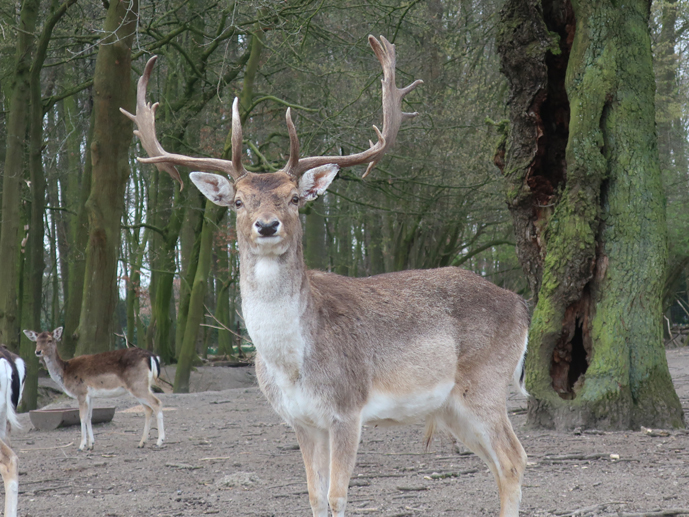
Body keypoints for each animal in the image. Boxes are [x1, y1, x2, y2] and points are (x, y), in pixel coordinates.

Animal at [23, 328, 165, 450]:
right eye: (36, 341)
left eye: (49, 340)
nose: (38, 352)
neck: (64, 372)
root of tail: (152, 356)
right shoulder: (90, 395)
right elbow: (89, 417)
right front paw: (91, 444)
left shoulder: (81, 392)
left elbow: (82, 417)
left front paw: (81, 446)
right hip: (141, 386)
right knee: (148, 409)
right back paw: (142, 443)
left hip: (137, 385)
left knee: (157, 403)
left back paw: (159, 441)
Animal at [121, 36, 528, 516]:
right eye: (238, 201)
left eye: (295, 197)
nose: (267, 225)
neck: (293, 365)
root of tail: (521, 303)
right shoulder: (300, 420)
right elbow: (314, 496)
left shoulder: (347, 408)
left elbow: (337, 496)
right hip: (451, 407)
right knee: (499, 463)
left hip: (486, 383)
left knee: (514, 458)